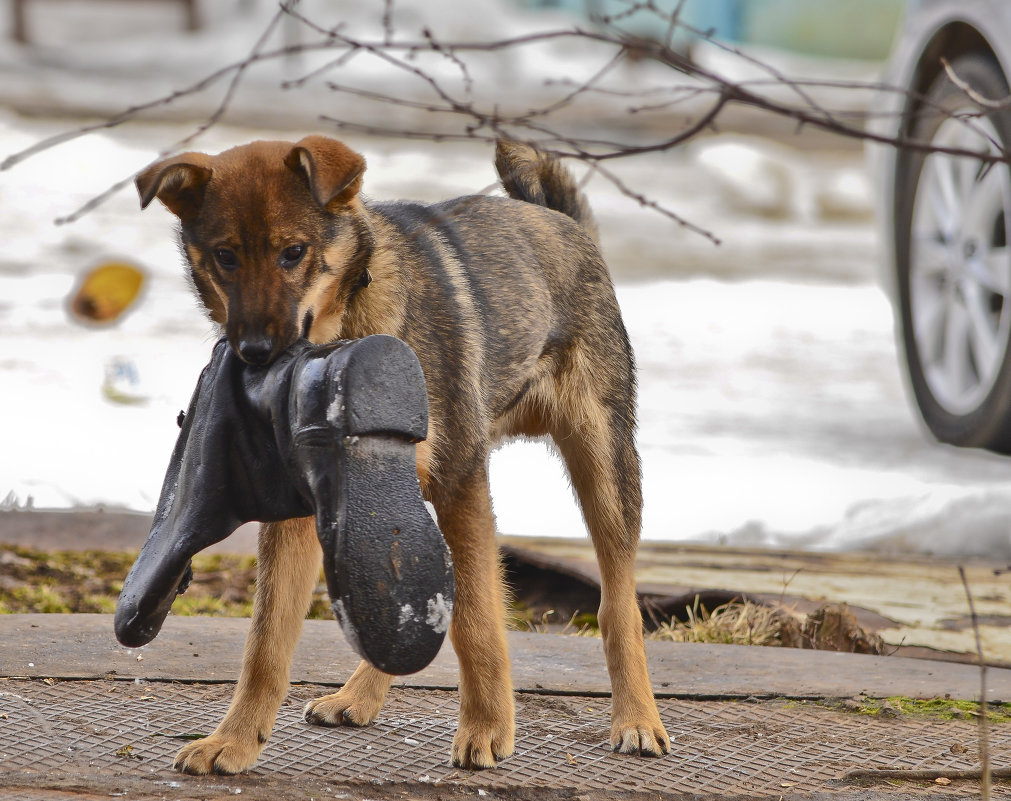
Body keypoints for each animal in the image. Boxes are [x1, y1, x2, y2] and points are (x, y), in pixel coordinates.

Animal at [136, 134, 671, 772]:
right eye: (225, 257)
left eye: (294, 253)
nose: (257, 354)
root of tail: (559, 221)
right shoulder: (300, 514)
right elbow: (266, 641)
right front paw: (235, 741)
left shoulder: (461, 480)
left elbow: (476, 618)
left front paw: (487, 727)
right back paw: (357, 695)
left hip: (604, 465)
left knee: (618, 603)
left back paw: (636, 718)